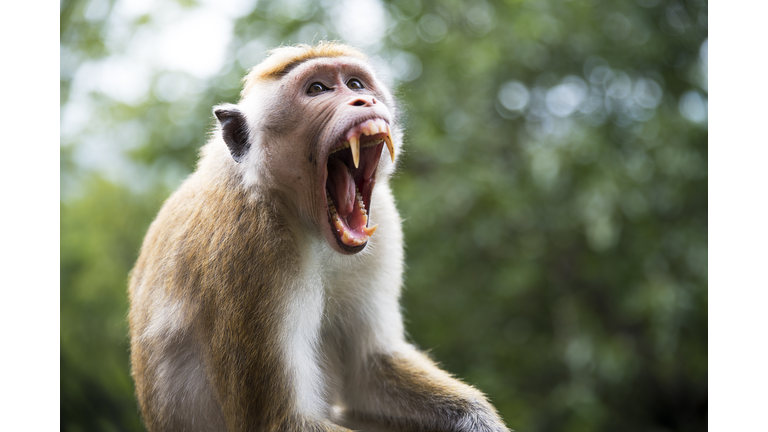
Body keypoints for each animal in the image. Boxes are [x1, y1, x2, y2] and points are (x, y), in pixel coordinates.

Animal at [127, 43, 510, 432]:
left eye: (355, 83)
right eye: (317, 89)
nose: (364, 100)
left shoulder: (383, 219)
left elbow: (367, 368)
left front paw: (478, 419)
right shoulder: (251, 248)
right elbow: (281, 420)